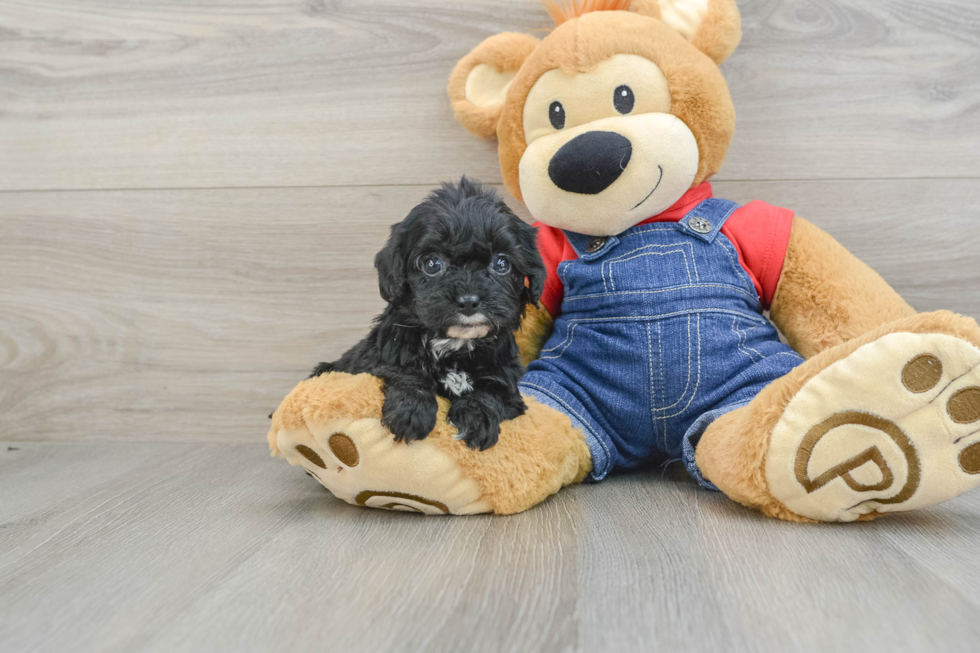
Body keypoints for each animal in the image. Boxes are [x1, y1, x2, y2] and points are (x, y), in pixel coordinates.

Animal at [312, 176, 548, 450]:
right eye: (432, 264)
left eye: (501, 263)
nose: (469, 302)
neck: (455, 344)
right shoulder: (380, 356)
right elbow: (404, 369)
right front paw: (411, 411)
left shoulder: (506, 377)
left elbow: (493, 391)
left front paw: (477, 418)